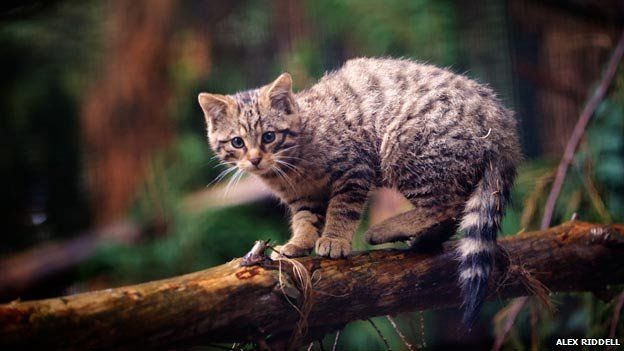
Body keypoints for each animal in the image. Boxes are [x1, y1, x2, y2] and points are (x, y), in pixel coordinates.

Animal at [200, 57, 520, 324]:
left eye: (269, 137)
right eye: (238, 142)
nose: (255, 159)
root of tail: (502, 123)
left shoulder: (354, 168)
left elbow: (342, 209)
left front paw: (334, 239)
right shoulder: (304, 197)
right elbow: (305, 219)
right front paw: (299, 242)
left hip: (404, 148)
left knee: (446, 204)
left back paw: (387, 229)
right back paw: (423, 240)